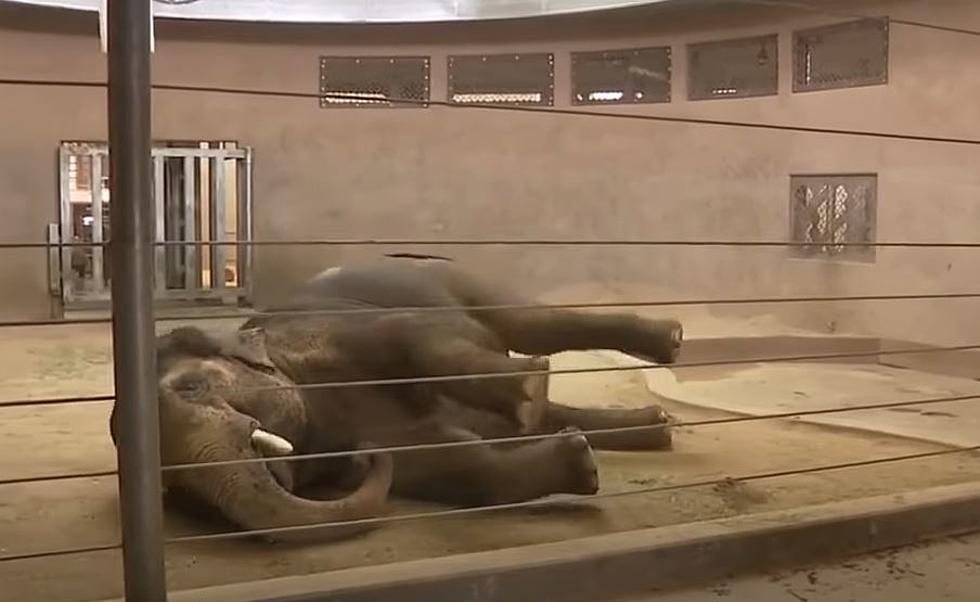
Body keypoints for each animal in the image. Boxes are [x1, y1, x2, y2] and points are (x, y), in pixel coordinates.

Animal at [113, 258, 680, 544]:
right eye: (177, 490)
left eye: (192, 387)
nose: (366, 456)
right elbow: (453, 463)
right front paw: (580, 461)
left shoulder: (335, 332)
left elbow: (411, 337)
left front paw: (527, 391)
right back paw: (655, 427)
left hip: (453, 280)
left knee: (532, 325)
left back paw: (666, 342)